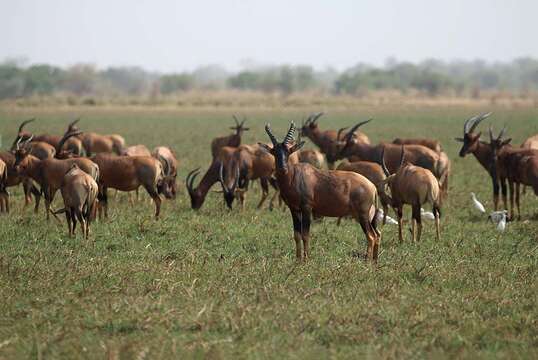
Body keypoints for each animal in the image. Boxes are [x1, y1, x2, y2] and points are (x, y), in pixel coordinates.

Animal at [258, 122, 378, 260]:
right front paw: (298, 259)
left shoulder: (307, 208)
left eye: (288, 151)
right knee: (375, 235)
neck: (294, 175)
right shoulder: (294, 209)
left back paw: (367, 261)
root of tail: (372, 186)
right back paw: (375, 260)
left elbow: (305, 234)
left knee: (371, 236)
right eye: (274, 152)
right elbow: (297, 235)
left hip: (362, 214)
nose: (282, 169)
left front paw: (306, 259)